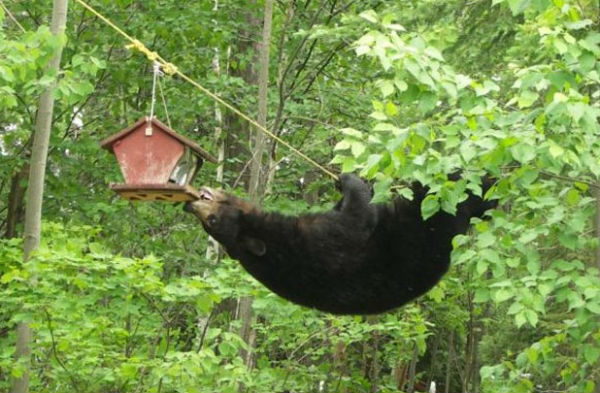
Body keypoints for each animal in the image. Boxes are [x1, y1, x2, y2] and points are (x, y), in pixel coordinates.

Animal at [184, 173, 496, 314]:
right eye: (211, 222)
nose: (192, 205)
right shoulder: (323, 244)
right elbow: (359, 217)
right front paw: (350, 181)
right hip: (435, 221)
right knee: (454, 195)